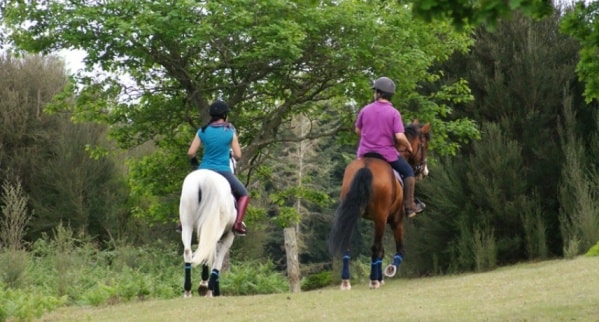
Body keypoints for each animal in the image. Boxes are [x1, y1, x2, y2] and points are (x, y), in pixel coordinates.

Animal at [179, 170, 236, 298]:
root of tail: (206, 179)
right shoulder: (228, 236)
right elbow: (217, 262)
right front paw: (213, 290)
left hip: (187, 225)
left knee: (188, 251)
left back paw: (188, 290)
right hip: (215, 229)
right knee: (208, 253)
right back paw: (205, 287)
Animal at [328, 120, 432, 290]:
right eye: (424, 145)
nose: (424, 171)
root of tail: (366, 167)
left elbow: (382, 250)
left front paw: (381, 276)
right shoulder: (395, 219)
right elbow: (399, 249)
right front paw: (389, 270)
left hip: (355, 214)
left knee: (349, 245)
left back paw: (346, 281)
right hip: (382, 217)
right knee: (375, 247)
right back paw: (373, 280)